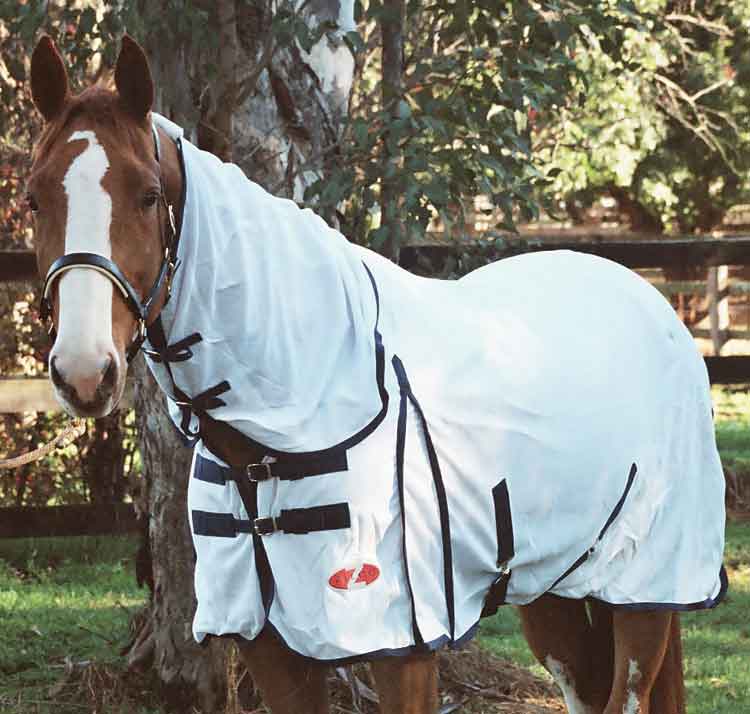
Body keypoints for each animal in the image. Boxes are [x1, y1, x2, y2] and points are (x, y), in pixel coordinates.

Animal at [27, 35, 726, 714]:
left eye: (148, 195)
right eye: (33, 199)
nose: (84, 371)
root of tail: (652, 304)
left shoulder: (402, 646)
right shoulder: (269, 645)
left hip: (643, 587)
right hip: (550, 585)